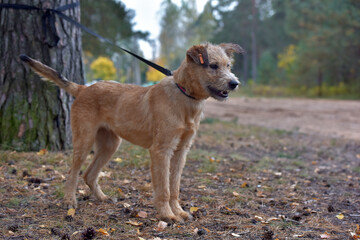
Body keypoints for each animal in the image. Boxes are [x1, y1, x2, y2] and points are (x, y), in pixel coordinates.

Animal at [21, 42, 243, 221]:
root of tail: (83, 88)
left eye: (228, 66)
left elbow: (174, 188)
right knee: (72, 173)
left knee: (89, 174)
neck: (184, 96)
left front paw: (178, 212)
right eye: (213, 66)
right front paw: (167, 215)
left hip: (110, 145)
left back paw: (102, 198)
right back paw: (69, 201)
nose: (235, 83)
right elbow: (163, 189)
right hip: (84, 141)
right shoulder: (161, 151)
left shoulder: (181, 152)